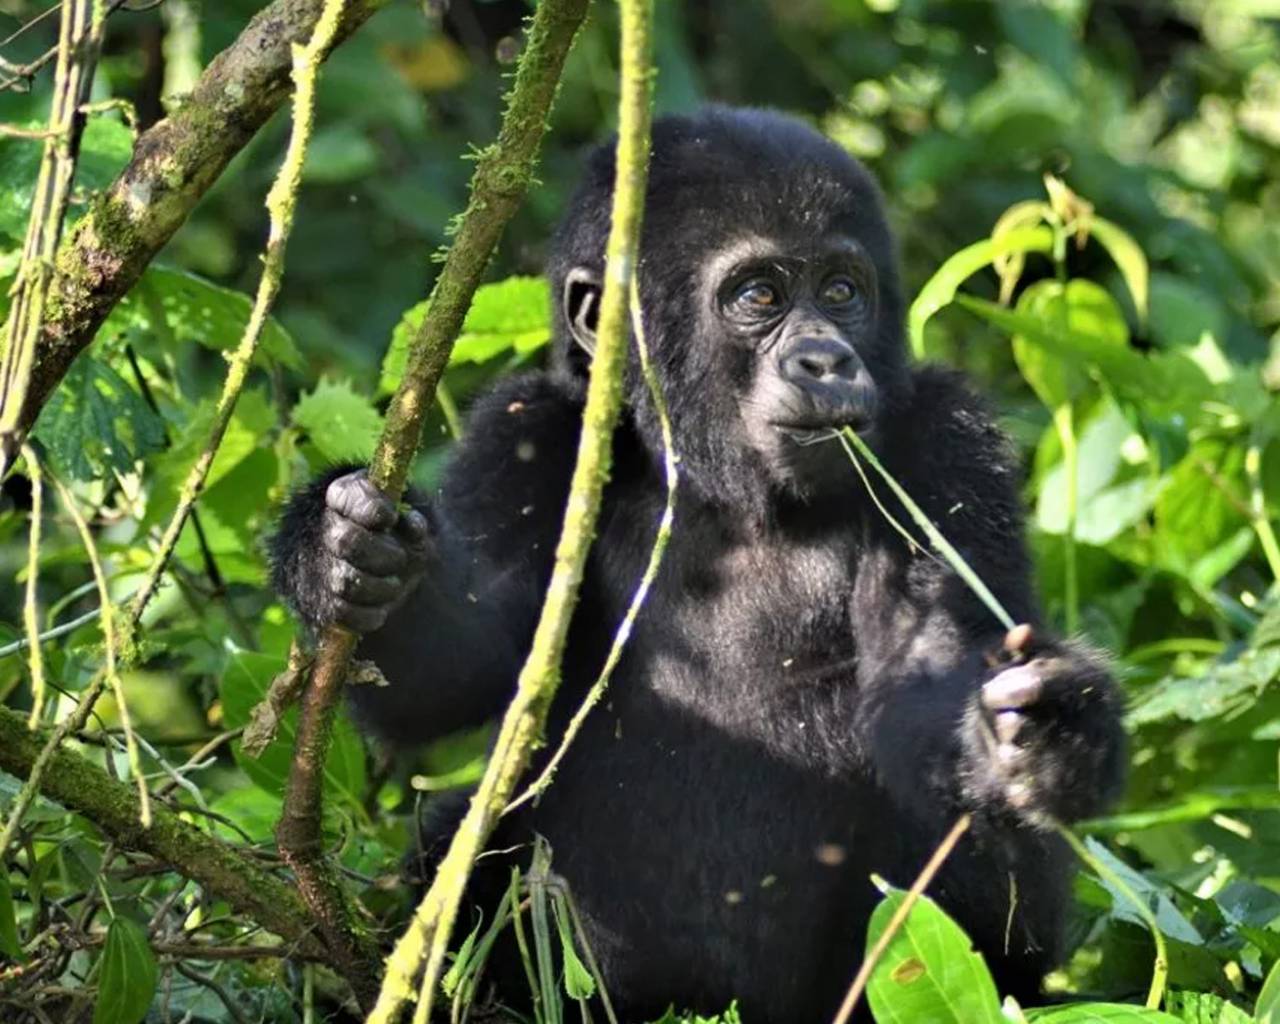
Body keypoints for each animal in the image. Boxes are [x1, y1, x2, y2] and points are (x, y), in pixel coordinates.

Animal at [275, 108, 1126, 1018]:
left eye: (841, 292)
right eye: (758, 297)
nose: (826, 359)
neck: (720, 486)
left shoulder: (948, 438)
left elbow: (934, 677)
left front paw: (1052, 736)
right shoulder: (527, 428)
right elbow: (464, 664)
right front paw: (345, 553)